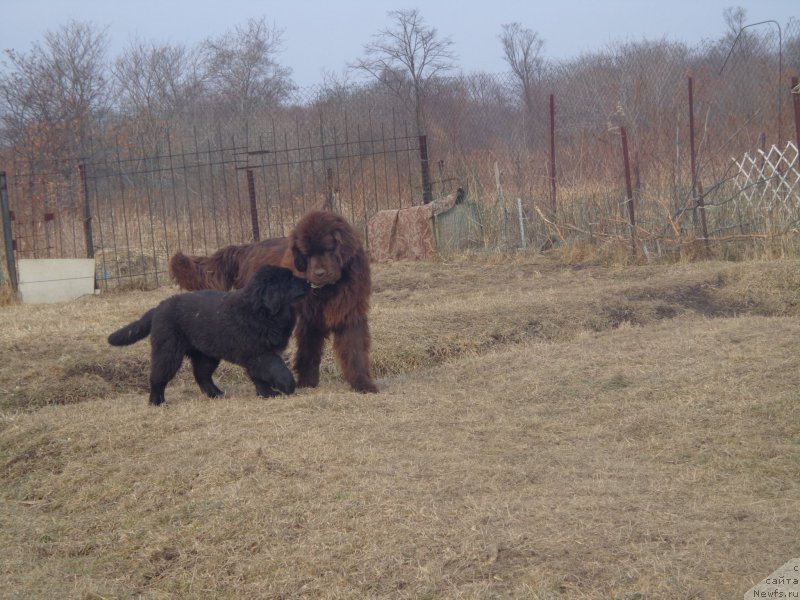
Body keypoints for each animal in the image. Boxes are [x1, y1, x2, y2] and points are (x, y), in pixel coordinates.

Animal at [111, 264, 310, 406]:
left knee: (202, 376)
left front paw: (267, 394)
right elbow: (279, 370)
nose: (309, 282)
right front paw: (286, 386)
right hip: (168, 351)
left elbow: (259, 378)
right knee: (158, 377)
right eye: (290, 279)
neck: (261, 311)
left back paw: (216, 394)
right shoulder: (260, 353)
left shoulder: (257, 357)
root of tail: (158, 307)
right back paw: (156, 402)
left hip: (206, 355)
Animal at [168, 211, 378, 394]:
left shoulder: (350, 313)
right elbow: (308, 352)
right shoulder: (310, 320)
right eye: (307, 254)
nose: (318, 274)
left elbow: (355, 352)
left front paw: (363, 384)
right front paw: (307, 383)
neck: (330, 288)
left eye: (328, 248)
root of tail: (247, 248)